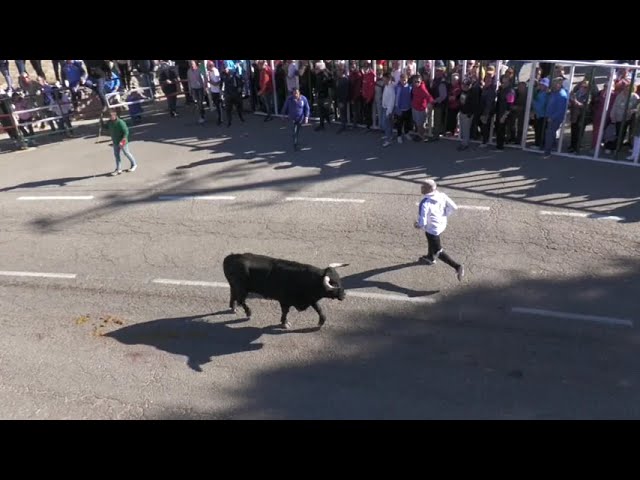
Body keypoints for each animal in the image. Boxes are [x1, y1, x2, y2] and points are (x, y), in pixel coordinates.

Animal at [221, 253, 350, 328]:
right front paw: (285, 323)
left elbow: (319, 309)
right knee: (241, 300)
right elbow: (285, 312)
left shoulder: (311, 298)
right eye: (334, 284)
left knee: (233, 295)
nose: (344, 295)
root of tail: (229, 257)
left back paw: (233, 308)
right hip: (242, 289)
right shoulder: (285, 300)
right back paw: (248, 313)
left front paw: (321, 322)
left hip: (235, 286)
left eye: (340, 280)